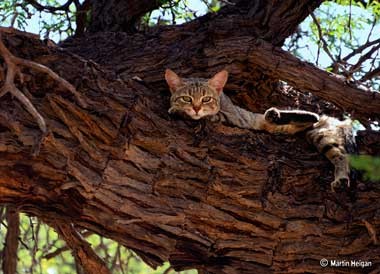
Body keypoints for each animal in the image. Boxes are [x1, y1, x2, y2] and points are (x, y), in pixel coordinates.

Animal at [165, 69, 354, 191]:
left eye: (206, 99)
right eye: (186, 98)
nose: (196, 108)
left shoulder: (232, 117)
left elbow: (211, 116)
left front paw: (178, 111)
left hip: (318, 132)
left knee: (331, 142)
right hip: (307, 133)